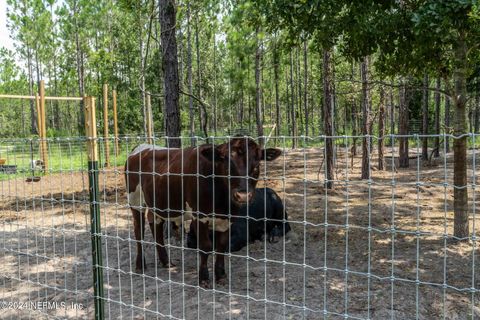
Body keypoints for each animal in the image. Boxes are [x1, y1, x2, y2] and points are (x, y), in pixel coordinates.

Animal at [124, 139, 282, 286]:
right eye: (228, 165)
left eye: (256, 166)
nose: (243, 195)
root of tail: (141, 148)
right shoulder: (200, 215)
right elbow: (206, 246)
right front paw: (204, 279)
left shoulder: (228, 218)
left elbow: (222, 246)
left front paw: (221, 276)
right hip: (135, 200)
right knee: (138, 230)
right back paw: (140, 265)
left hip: (157, 202)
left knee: (155, 224)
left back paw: (166, 262)